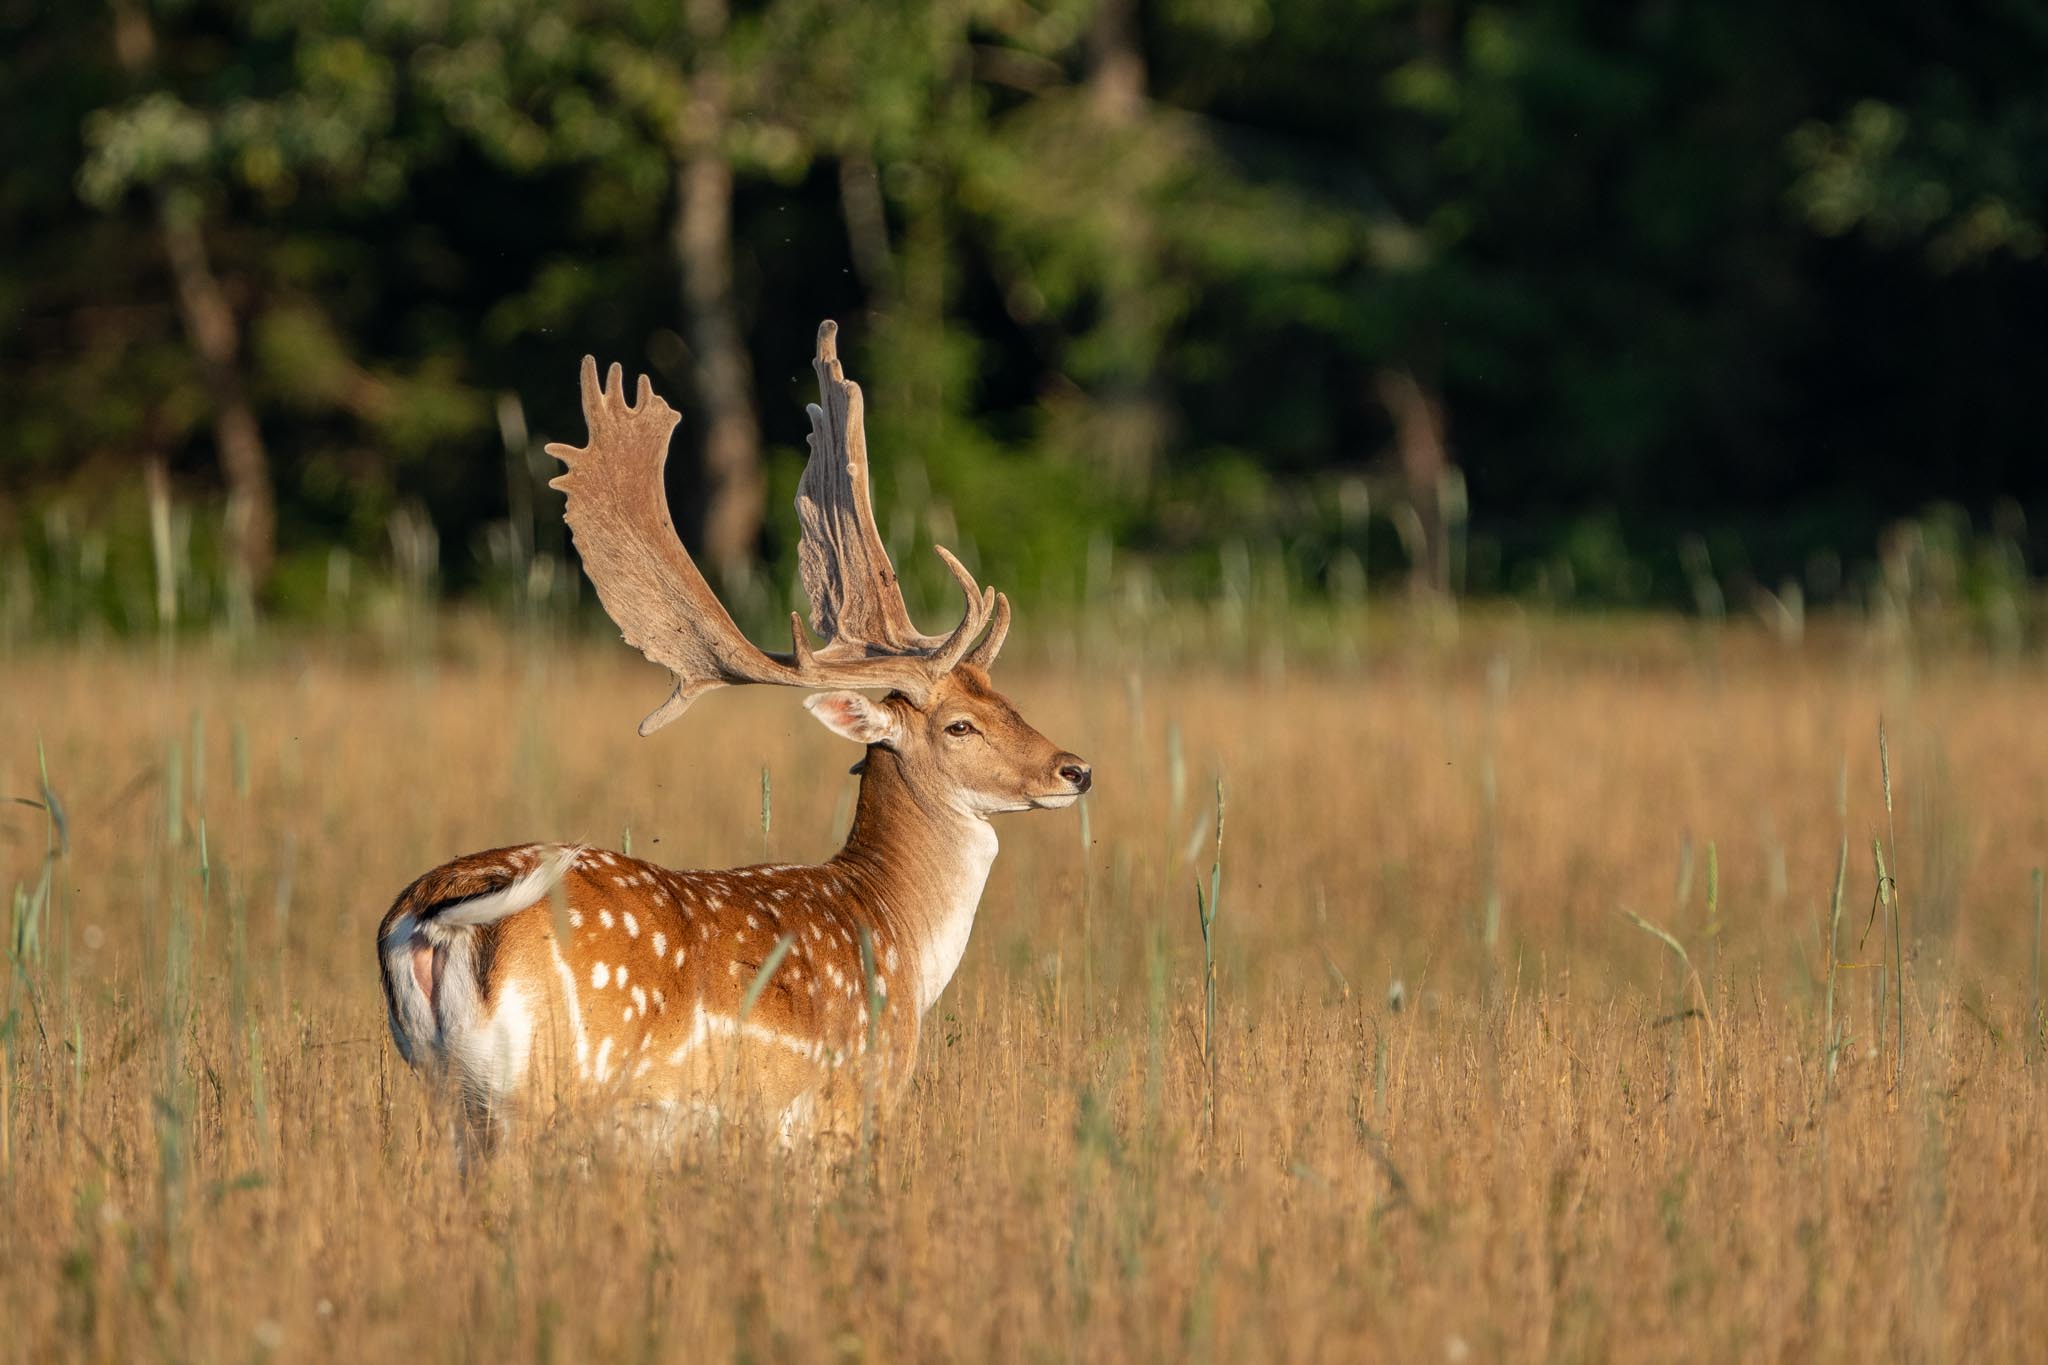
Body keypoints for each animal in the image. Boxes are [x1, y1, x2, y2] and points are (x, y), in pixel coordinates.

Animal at [378, 323, 1097, 1162]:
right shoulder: (842, 1102)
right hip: (547, 1088)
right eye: (959, 724)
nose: (1075, 768)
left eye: (1006, 700)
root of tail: (427, 916)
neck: (899, 934)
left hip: (446, 1089)